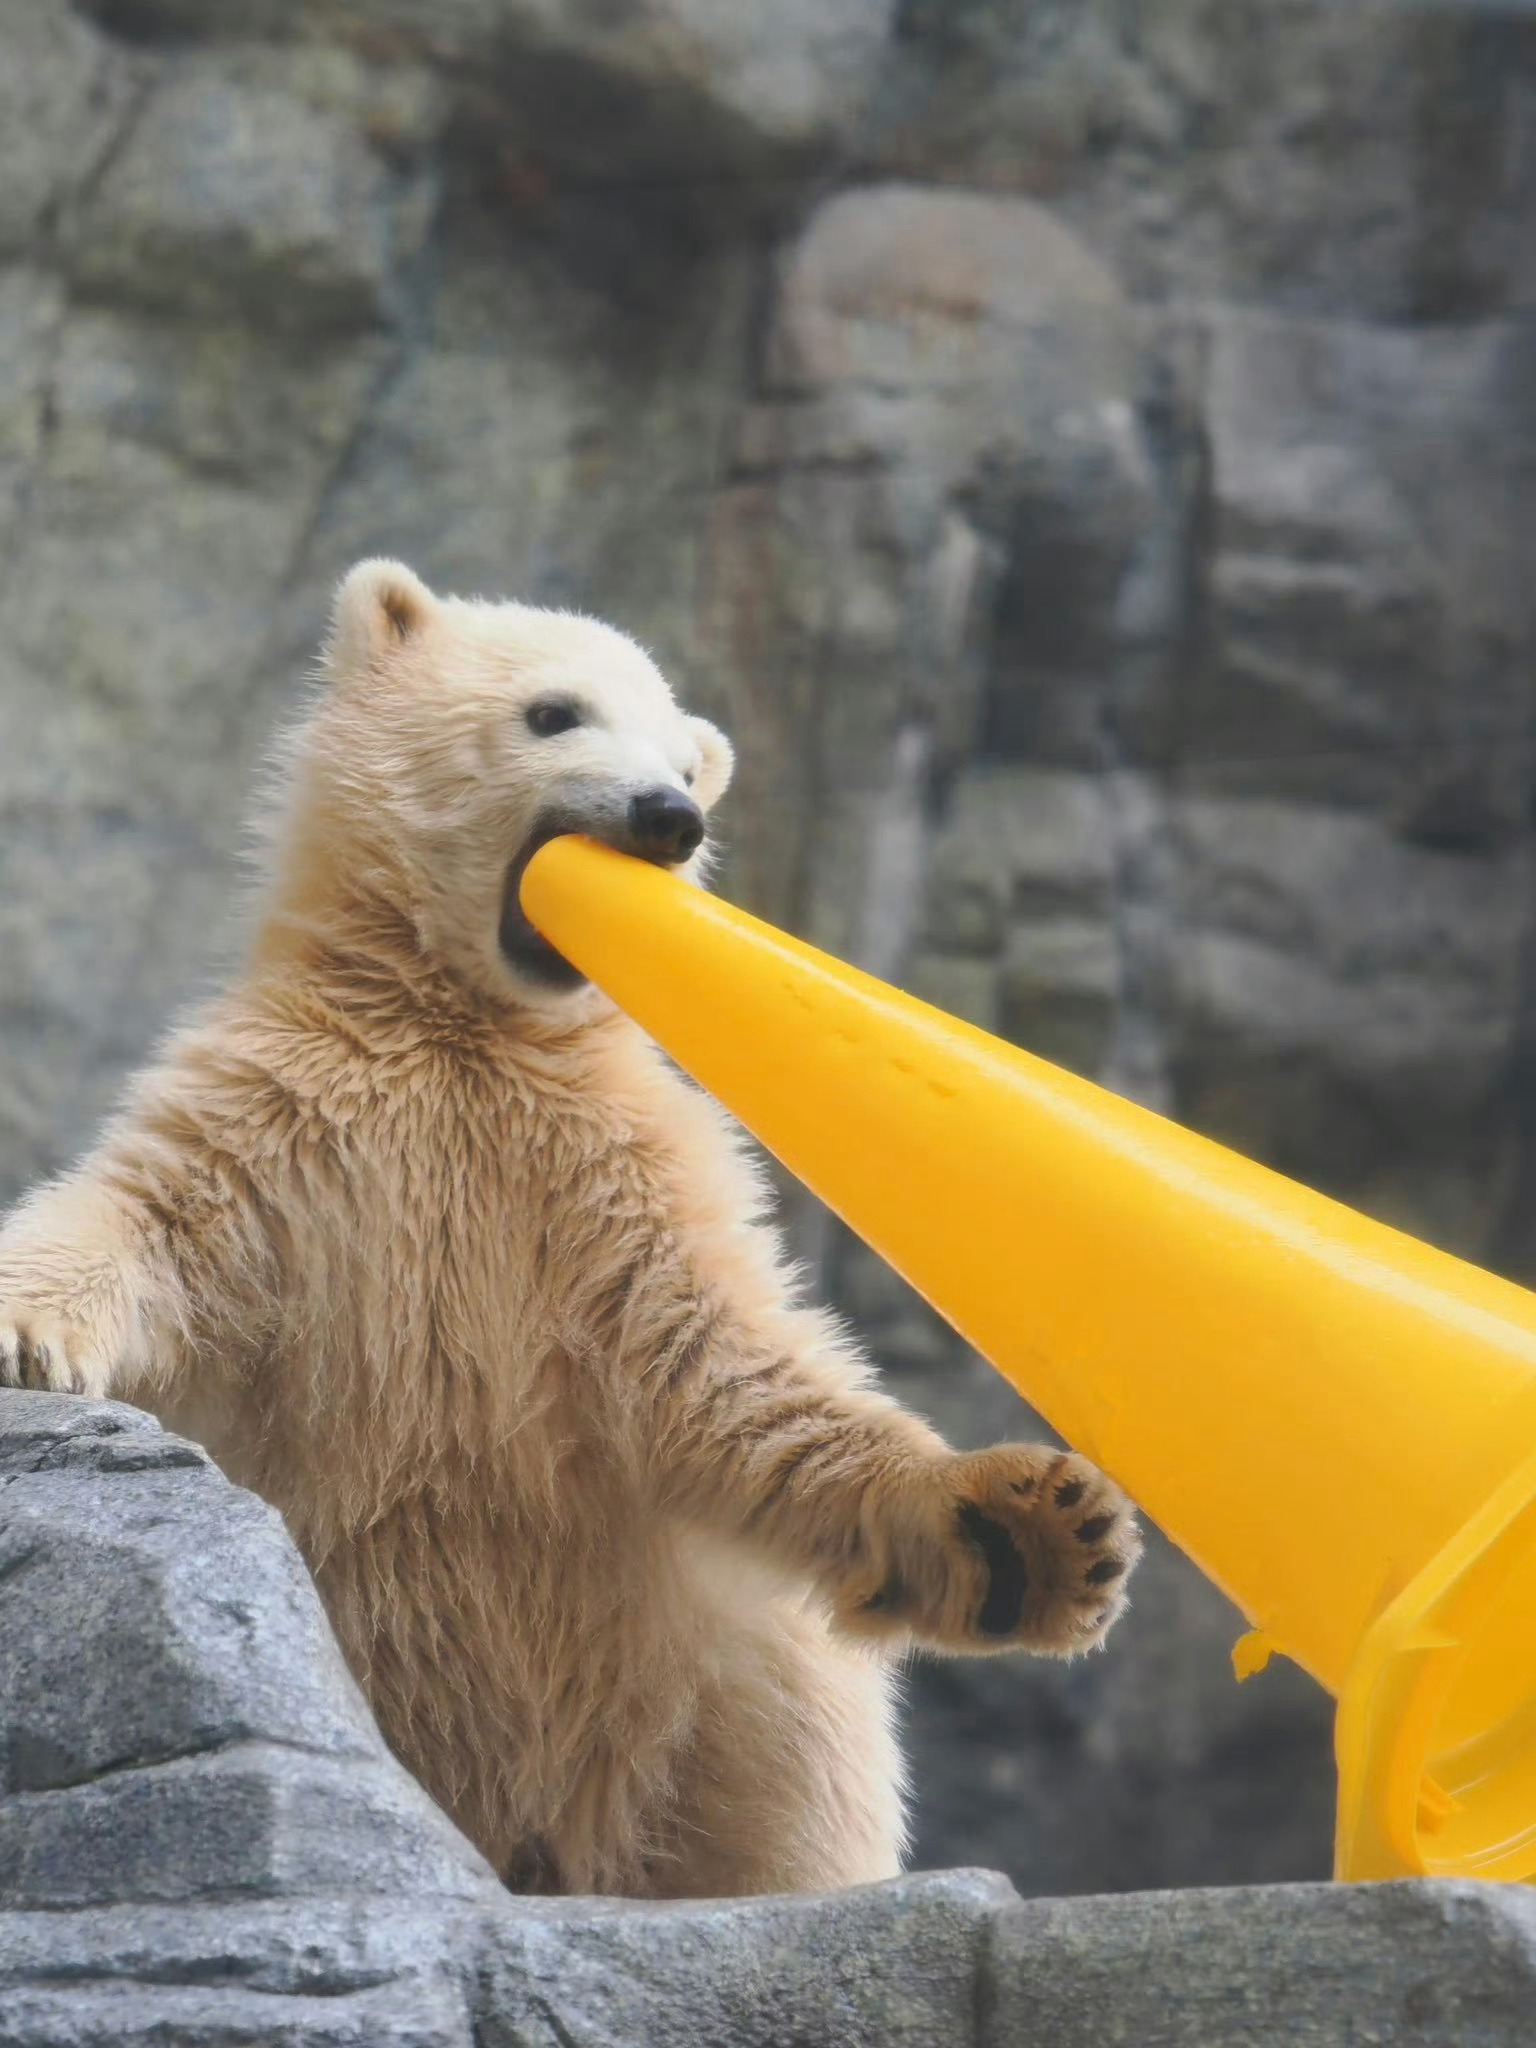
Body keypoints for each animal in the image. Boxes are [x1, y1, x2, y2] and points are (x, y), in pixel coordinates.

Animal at [0, 559, 1140, 1898]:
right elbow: (146, 1222)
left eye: (686, 761)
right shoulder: (291, 1116)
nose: (667, 815)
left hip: (735, 1714)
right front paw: (19, 1335)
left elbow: (731, 1370)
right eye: (555, 712)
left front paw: (1037, 1529)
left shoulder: (611, 1175)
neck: (467, 1025)